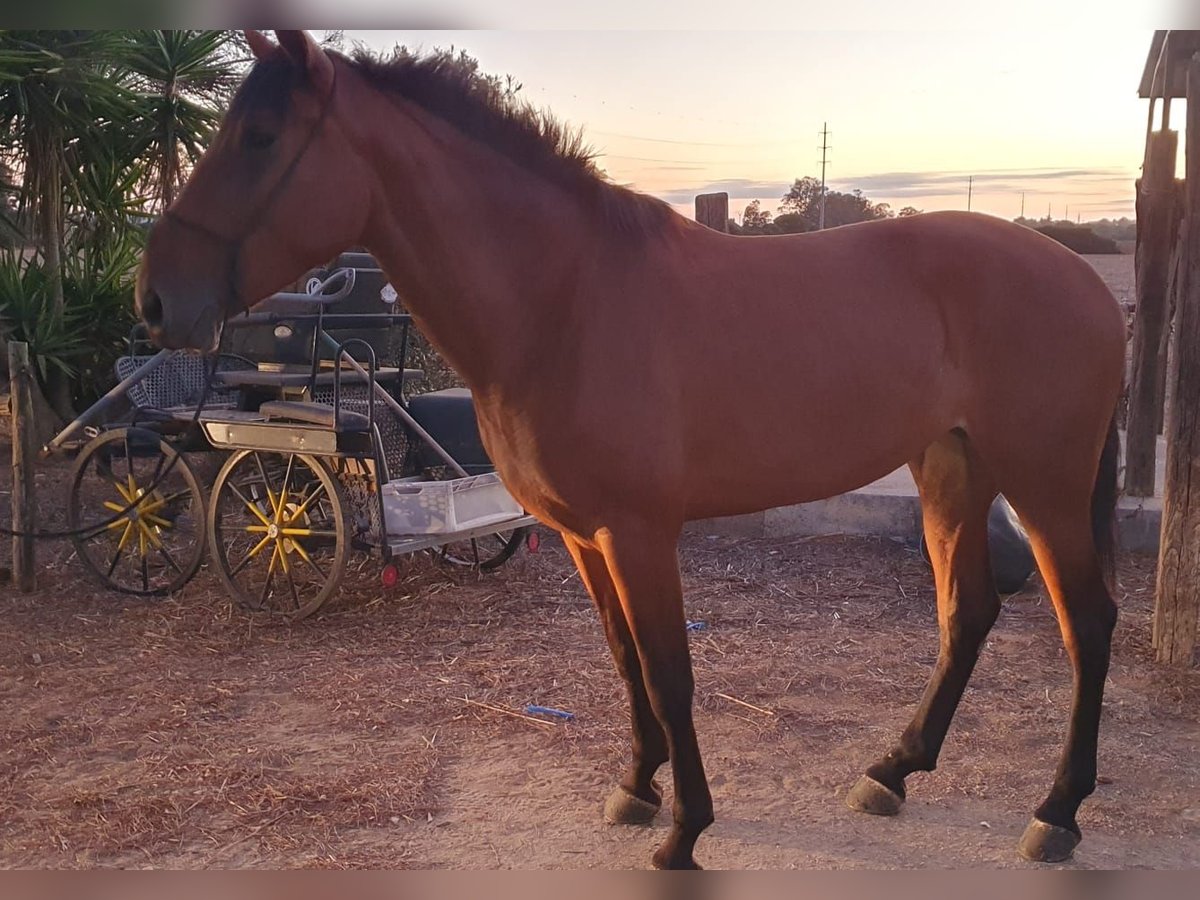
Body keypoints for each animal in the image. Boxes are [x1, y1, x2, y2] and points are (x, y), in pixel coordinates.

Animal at [138, 30, 1123, 873]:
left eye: (261, 136)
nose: (154, 300)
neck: (562, 300)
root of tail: (1083, 276)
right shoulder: (584, 536)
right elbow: (622, 661)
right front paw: (636, 790)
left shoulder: (640, 534)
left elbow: (668, 671)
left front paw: (685, 831)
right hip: (951, 467)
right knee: (967, 613)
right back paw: (892, 772)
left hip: (1042, 483)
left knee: (1087, 622)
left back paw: (1057, 814)